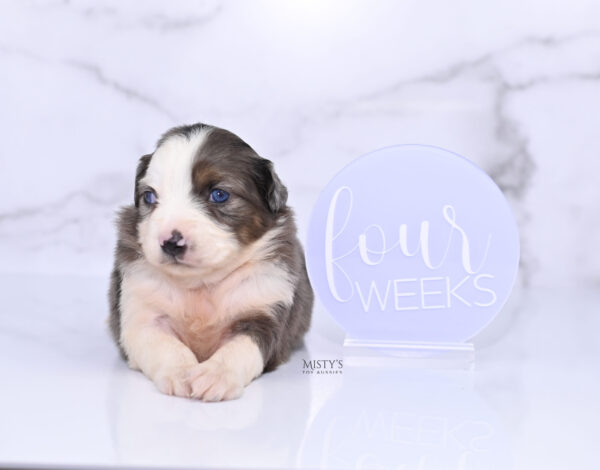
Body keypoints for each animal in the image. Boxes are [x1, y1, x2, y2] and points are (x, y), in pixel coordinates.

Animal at [108, 124, 314, 400]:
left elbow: (240, 347)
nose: (170, 242)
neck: (201, 283)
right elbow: (164, 344)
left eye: (219, 195)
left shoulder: (265, 310)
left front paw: (216, 375)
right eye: (150, 197)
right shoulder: (141, 313)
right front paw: (182, 372)